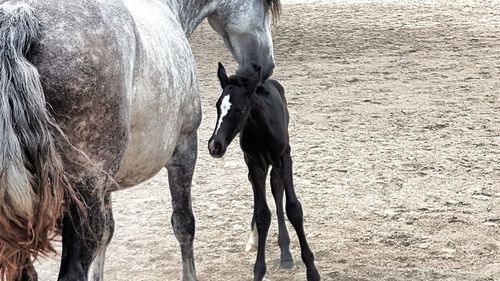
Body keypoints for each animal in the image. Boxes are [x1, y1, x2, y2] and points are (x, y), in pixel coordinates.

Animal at [0, 0, 282, 278]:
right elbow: (184, 224)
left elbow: (107, 232)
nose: (267, 66)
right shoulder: (184, 149)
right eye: (265, 7)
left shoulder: (106, 184)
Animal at [207, 63, 320, 280]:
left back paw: (286, 254)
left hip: (277, 162)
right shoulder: (255, 163)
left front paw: (312, 271)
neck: (261, 128)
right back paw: (256, 240)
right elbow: (262, 214)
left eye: (241, 110)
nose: (215, 146)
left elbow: (293, 208)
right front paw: (258, 270)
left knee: (277, 188)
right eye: (217, 106)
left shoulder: (284, 159)